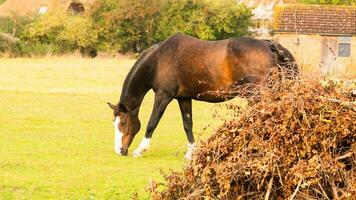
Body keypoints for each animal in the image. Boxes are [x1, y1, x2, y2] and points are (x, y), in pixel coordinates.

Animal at [106, 34, 298, 159]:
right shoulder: (183, 98)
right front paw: (191, 153)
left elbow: (152, 123)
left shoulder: (163, 96)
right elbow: (187, 124)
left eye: (123, 123)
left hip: (258, 94)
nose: (119, 151)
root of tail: (270, 45)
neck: (159, 60)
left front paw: (140, 150)